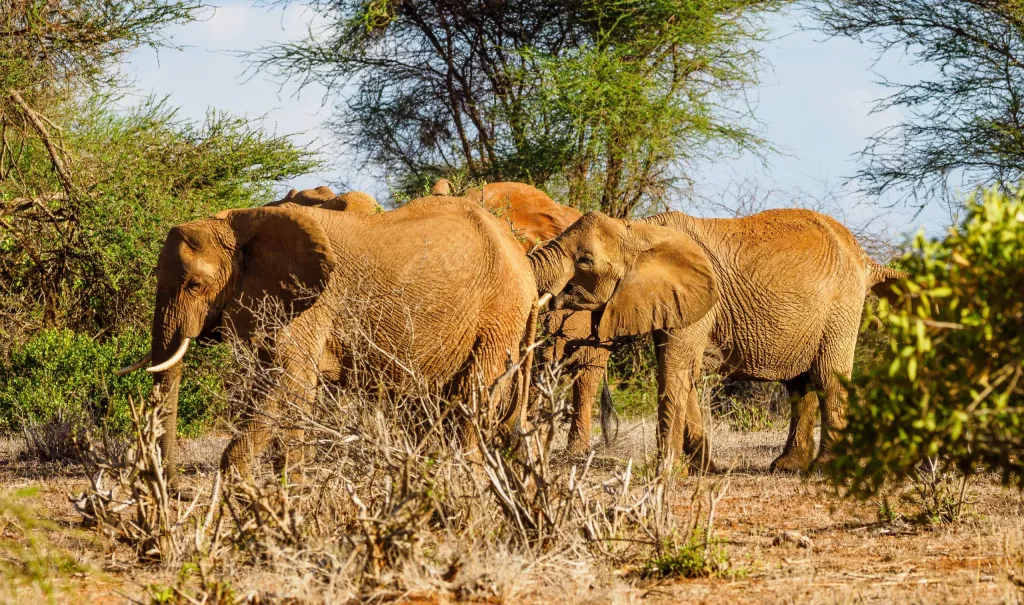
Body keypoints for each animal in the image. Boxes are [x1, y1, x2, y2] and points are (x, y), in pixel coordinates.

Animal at [117, 195, 538, 484]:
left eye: (195, 284)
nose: (174, 486)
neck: (242, 221)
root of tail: (523, 262)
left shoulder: (312, 302)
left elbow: (288, 384)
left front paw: (262, 484)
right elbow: (285, 389)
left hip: (499, 316)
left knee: (471, 397)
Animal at [528, 209, 906, 472]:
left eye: (585, 261)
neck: (637, 229)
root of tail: (865, 258)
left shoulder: (698, 301)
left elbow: (674, 370)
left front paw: (666, 472)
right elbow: (683, 373)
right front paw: (704, 469)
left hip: (842, 306)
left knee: (828, 378)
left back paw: (822, 470)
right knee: (801, 384)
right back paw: (787, 467)